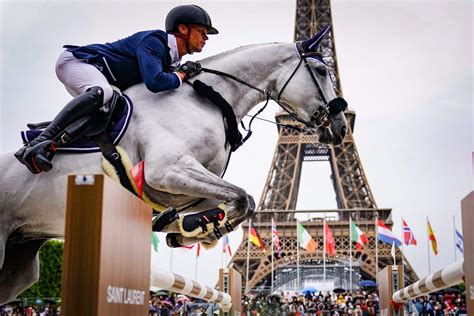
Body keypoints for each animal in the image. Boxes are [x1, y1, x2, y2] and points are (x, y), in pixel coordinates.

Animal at [0, 28, 348, 302]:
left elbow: (238, 202)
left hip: (19, 264)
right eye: (320, 70)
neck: (209, 98)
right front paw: (196, 228)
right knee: (97, 92)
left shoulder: (185, 187)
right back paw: (37, 149)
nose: (341, 127)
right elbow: (243, 198)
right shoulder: (167, 169)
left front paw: (189, 229)